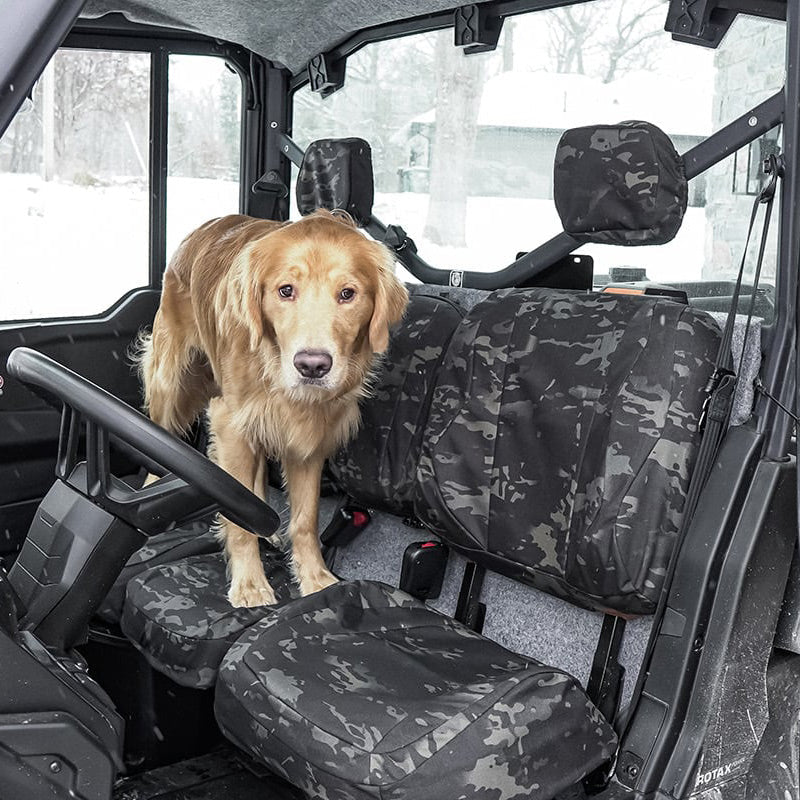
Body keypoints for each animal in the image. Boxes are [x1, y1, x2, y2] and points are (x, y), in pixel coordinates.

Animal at [138, 211, 410, 608]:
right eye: (285, 291)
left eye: (348, 294)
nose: (312, 366)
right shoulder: (232, 423)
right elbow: (239, 523)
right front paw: (250, 584)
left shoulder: (309, 437)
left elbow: (305, 519)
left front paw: (314, 578)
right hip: (169, 381)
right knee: (158, 438)